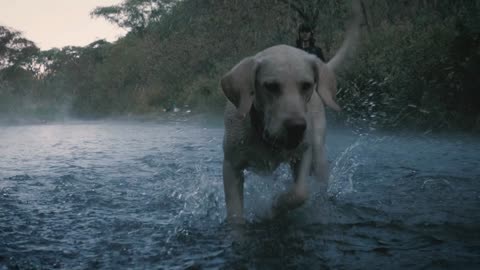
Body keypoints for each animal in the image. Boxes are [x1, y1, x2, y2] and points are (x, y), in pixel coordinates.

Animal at [221, 3, 360, 224]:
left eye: (307, 85)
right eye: (271, 86)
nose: (297, 127)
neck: (263, 133)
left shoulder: (303, 153)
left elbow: (300, 193)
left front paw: (275, 206)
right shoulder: (231, 166)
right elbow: (235, 213)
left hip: (319, 156)